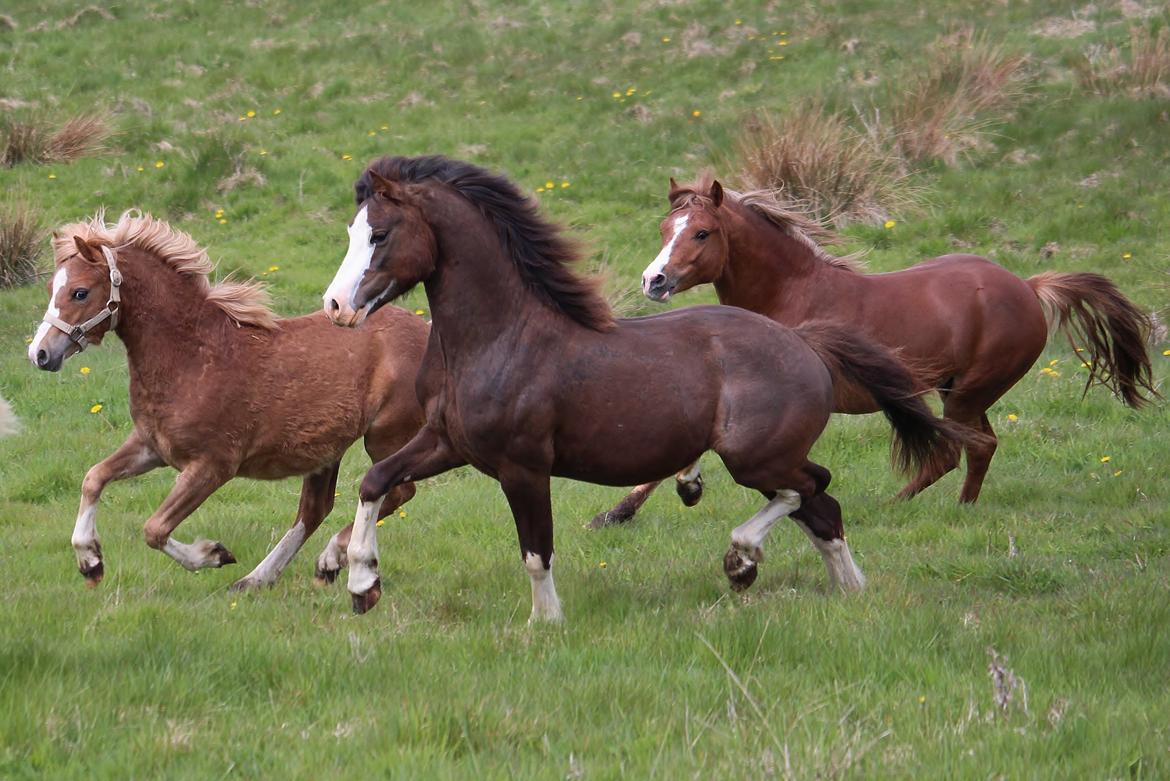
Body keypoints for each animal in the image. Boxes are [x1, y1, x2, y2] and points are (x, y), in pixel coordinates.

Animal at [29, 210, 428, 589]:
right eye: (51, 287)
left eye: (80, 292)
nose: (40, 354)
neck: (192, 357)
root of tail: (427, 331)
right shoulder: (150, 447)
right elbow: (93, 478)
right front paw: (90, 560)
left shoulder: (213, 466)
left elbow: (154, 529)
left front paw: (213, 554)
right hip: (327, 450)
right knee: (315, 510)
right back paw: (259, 578)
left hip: (385, 437)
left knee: (394, 491)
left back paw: (330, 559)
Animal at [320, 156, 968, 621]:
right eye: (352, 231)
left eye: (380, 234)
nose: (335, 307)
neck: (500, 338)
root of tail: (804, 342)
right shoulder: (447, 443)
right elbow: (374, 481)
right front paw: (360, 582)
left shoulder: (522, 466)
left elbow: (535, 551)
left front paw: (545, 623)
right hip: (766, 459)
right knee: (823, 508)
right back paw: (846, 590)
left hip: (755, 456)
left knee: (809, 488)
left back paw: (742, 561)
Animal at [603, 174, 1160, 521]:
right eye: (664, 229)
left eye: (701, 232)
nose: (654, 281)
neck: (791, 296)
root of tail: (1027, 285)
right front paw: (623, 509)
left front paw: (620, 511)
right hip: (957, 390)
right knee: (978, 447)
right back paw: (955, 507)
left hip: (968, 392)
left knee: (959, 449)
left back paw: (899, 506)